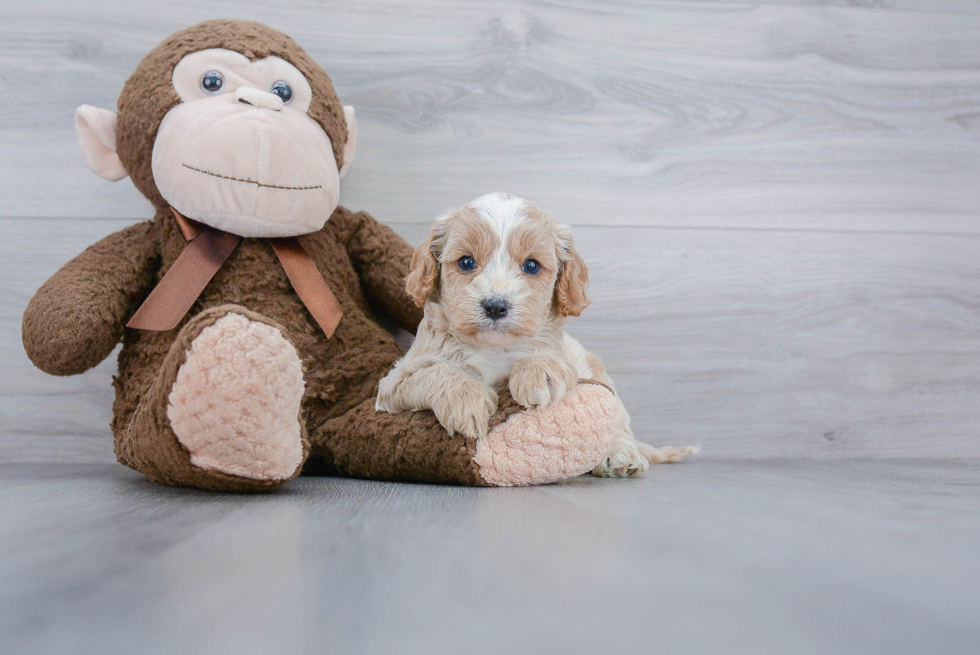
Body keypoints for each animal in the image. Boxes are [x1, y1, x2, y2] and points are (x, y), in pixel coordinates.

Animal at [378, 191, 696, 476]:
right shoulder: (391, 387)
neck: (493, 348)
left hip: (600, 376)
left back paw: (621, 456)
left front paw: (538, 374)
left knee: (620, 425)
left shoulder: (563, 355)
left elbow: (546, 357)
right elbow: (435, 371)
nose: (495, 306)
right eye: (466, 262)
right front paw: (467, 401)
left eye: (531, 266)